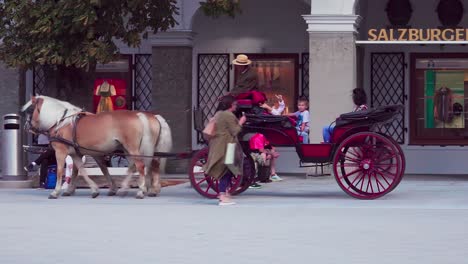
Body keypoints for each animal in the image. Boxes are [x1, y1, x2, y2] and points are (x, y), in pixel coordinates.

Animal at [21, 96, 172, 199]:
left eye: (30, 110)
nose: (27, 127)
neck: (62, 122)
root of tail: (140, 115)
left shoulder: (61, 152)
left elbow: (60, 171)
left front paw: (56, 191)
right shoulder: (78, 153)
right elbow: (81, 170)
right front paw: (88, 189)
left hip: (132, 149)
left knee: (141, 166)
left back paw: (141, 190)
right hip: (129, 149)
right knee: (142, 166)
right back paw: (141, 189)